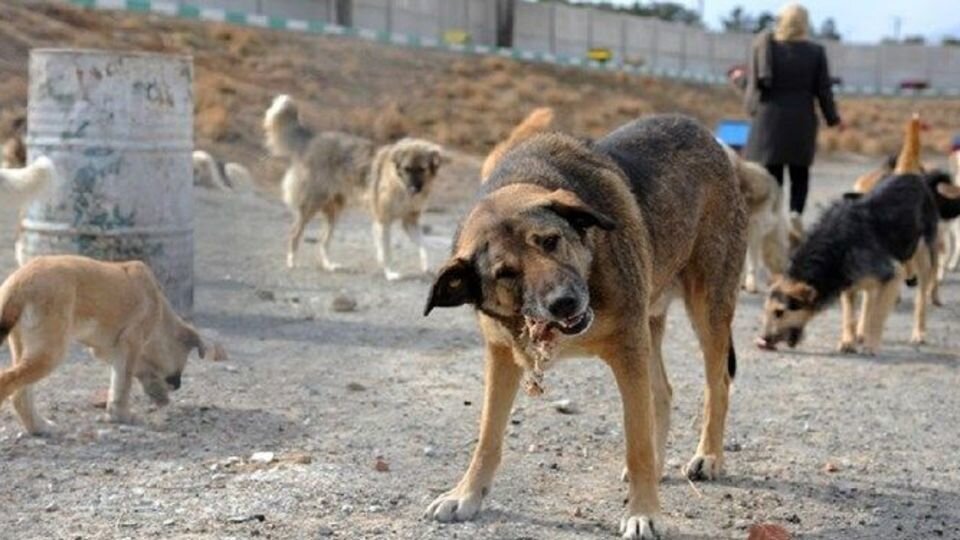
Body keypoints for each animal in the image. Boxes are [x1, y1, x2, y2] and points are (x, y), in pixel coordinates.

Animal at [0, 254, 219, 434]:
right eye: (177, 373)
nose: (177, 386)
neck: (160, 312)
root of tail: (19, 284)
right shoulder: (131, 344)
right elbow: (123, 385)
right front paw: (123, 416)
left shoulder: (107, 350)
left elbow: (119, 381)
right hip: (49, 353)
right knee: (8, 383)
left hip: (26, 349)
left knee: (20, 394)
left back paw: (39, 427)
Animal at [424, 114, 748, 536]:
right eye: (505, 272)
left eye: (550, 241)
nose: (565, 302)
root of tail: (703, 132)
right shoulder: (502, 355)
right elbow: (487, 436)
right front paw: (466, 494)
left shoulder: (628, 348)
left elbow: (636, 443)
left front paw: (643, 512)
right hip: (650, 323)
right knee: (662, 391)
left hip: (707, 308)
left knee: (717, 384)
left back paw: (708, 456)